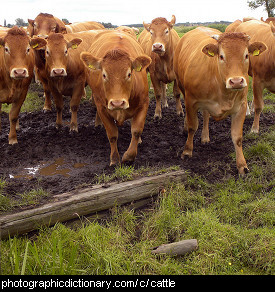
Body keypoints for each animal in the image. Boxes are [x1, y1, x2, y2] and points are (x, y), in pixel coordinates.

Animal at [81, 31, 152, 167]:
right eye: (104, 75)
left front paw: (129, 156)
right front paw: (114, 159)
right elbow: (112, 134)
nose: (117, 103)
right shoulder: (102, 108)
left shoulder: (144, 103)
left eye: (129, 74)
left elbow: (136, 130)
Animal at [175, 26, 268, 175]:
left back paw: (205, 136)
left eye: (246, 55)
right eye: (221, 56)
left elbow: (237, 137)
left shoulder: (241, 107)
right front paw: (187, 151)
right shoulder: (191, 101)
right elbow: (192, 126)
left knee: (206, 114)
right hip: (181, 85)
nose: (236, 81)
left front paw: (242, 165)